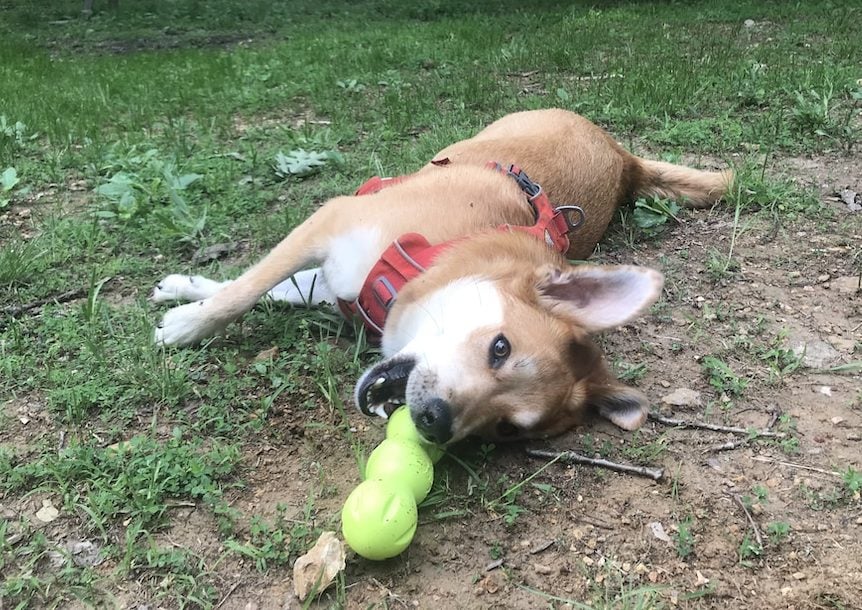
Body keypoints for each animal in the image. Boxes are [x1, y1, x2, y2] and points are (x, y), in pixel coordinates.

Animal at [152, 108, 732, 442]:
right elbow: (247, 288)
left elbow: (271, 287)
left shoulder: (333, 274)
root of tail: (621, 155)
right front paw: (189, 317)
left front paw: (188, 302)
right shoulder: (332, 223)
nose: (435, 421)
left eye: (504, 430)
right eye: (500, 347)